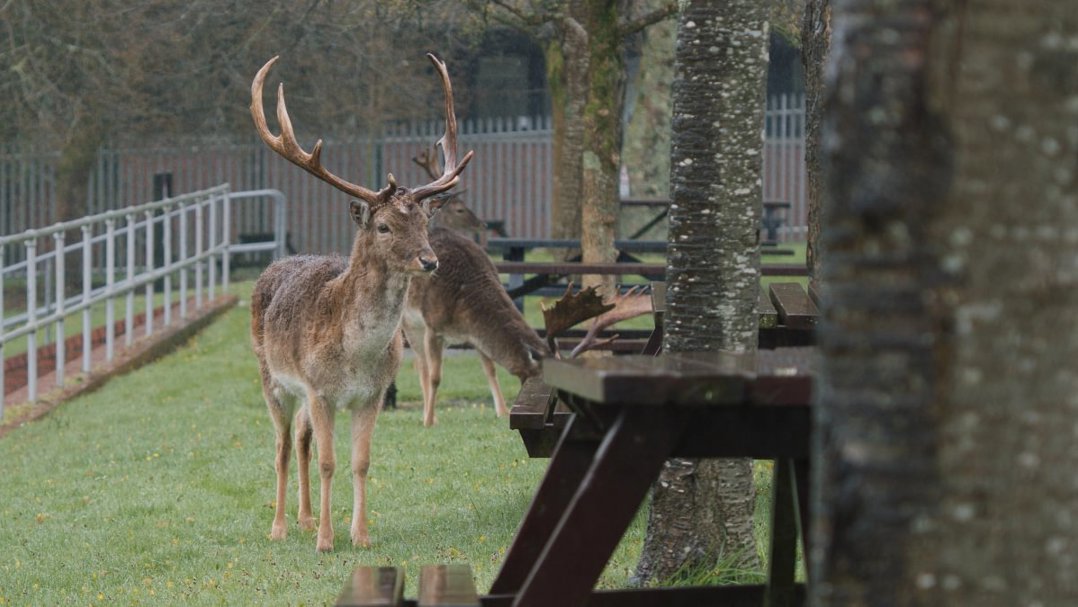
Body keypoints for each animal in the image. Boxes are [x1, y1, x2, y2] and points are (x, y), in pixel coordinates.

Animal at [248, 53, 473, 551]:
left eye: (425, 222)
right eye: (384, 226)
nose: (429, 260)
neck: (356, 355)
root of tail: (276, 264)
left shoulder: (370, 395)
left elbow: (360, 462)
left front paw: (361, 535)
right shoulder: (320, 390)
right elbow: (330, 461)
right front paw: (327, 541)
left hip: (301, 394)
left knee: (301, 438)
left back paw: (305, 518)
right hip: (272, 378)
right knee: (282, 447)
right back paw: (279, 526)